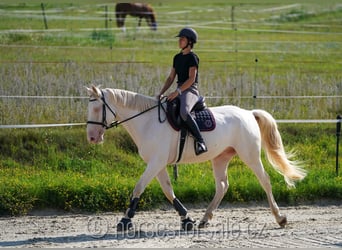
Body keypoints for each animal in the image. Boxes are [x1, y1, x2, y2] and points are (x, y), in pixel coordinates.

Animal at [87, 85, 306, 230]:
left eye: (97, 109)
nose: (92, 138)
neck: (147, 122)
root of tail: (248, 113)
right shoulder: (157, 164)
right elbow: (168, 191)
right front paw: (187, 219)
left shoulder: (155, 163)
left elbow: (139, 187)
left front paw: (125, 220)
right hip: (220, 158)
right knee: (222, 186)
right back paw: (204, 219)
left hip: (249, 155)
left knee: (265, 180)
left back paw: (280, 218)